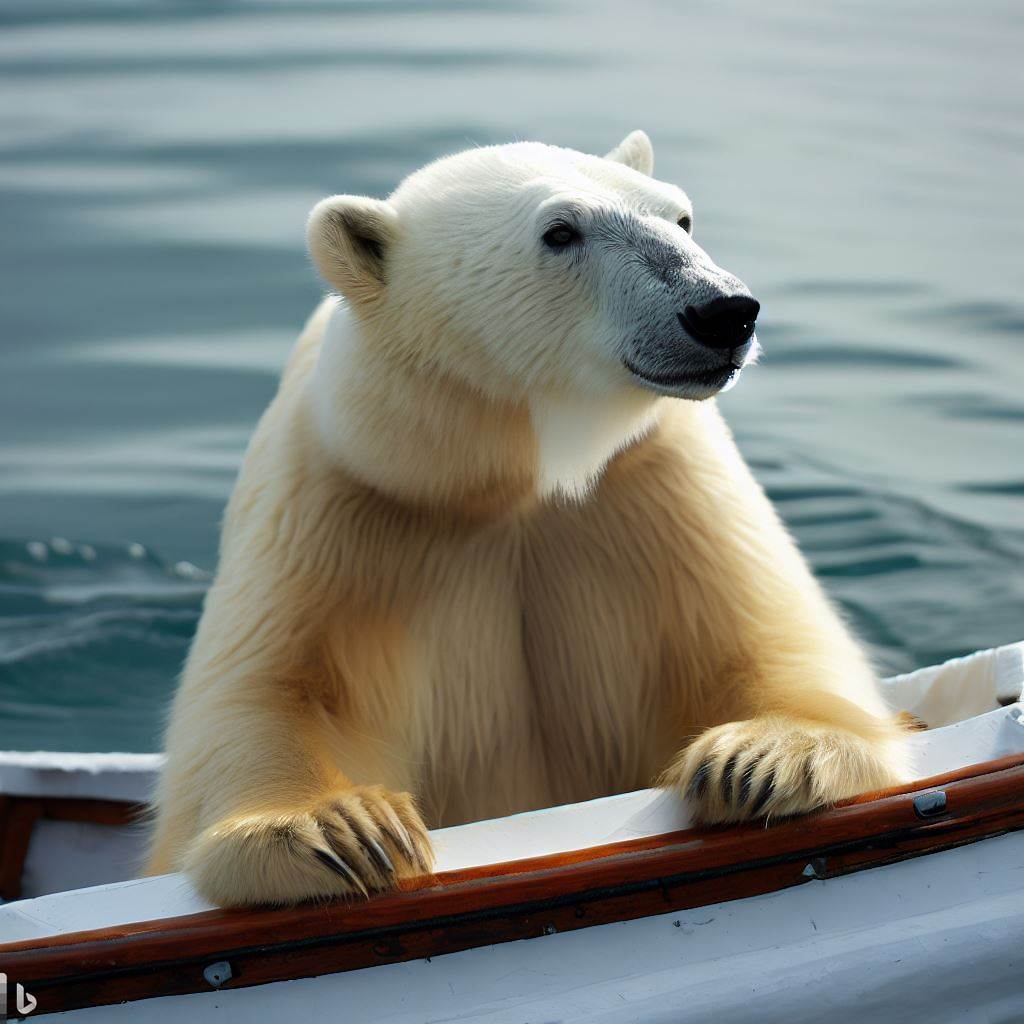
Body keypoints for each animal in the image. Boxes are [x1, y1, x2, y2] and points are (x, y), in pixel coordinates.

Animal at [145, 131, 908, 908]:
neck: (508, 485)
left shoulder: (666, 489)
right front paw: (339, 830)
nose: (724, 310)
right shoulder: (339, 504)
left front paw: (759, 762)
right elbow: (274, 687)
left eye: (682, 217)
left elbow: (766, 641)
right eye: (561, 232)